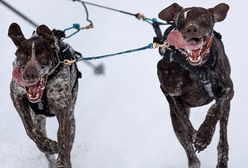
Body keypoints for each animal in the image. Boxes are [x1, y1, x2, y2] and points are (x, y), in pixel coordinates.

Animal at [8, 23, 80, 167]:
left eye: (43, 54)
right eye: (23, 55)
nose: (30, 74)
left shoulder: (63, 111)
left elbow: (63, 142)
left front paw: (62, 161)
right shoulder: (16, 95)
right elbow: (30, 130)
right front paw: (49, 146)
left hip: (71, 117)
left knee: (68, 142)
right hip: (38, 119)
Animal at [158, 2, 233, 168]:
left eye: (203, 17)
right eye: (181, 19)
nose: (191, 29)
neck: (199, 69)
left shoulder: (228, 90)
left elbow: (214, 109)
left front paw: (204, 136)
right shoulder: (169, 92)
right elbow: (184, 121)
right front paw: (195, 135)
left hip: (226, 112)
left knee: (223, 136)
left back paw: (222, 159)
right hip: (175, 123)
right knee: (191, 153)